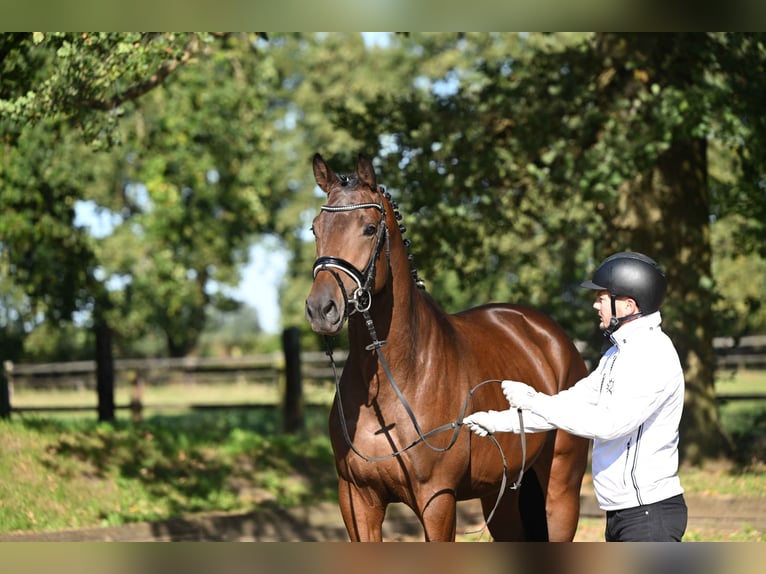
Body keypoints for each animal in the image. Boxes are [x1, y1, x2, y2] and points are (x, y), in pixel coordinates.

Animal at [304, 152, 588, 540]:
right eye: (316, 228)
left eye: (369, 228)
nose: (321, 309)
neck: (396, 381)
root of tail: (554, 339)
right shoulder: (357, 500)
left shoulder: (437, 499)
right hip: (501, 497)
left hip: (561, 488)